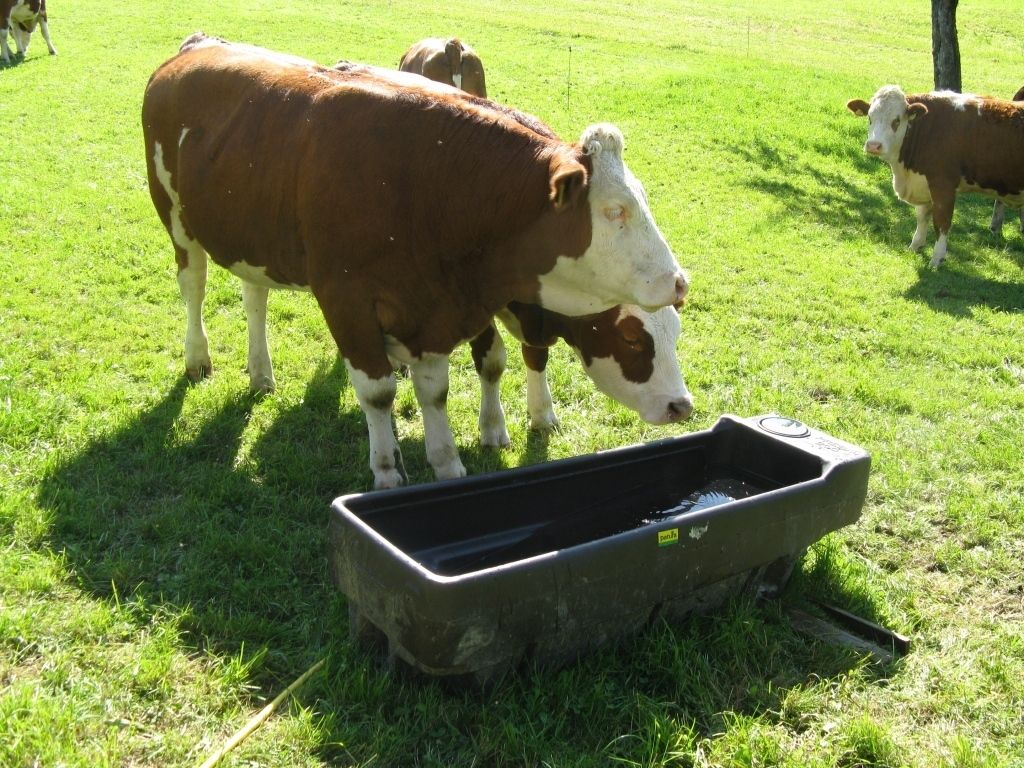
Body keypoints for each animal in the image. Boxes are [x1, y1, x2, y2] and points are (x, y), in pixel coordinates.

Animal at [471, 303, 696, 448]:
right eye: (631, 339)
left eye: (676, 332)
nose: (682, 408)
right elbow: (492, 363)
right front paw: (492, 427)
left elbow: (536, 356)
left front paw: (542, 415)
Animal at [847, 84, 1024, 268]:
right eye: (870, 117)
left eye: (896, 120)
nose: (873, 145)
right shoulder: (923, 183)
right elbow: (922, 216)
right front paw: (915, 245)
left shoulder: (943, 185)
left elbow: (941, 222)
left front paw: (937, 259)